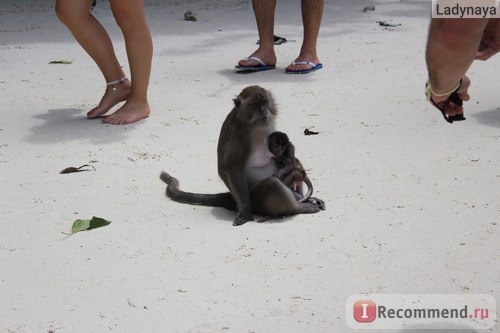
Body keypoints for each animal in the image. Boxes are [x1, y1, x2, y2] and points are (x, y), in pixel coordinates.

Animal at [160, 85, 324, 226]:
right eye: (255, 104)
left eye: (265, 102)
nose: (263, 110)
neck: (253, 126)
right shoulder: (239, 139)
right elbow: (232, 167)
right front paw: (245, 213)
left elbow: (287, 157)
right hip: (257, 201)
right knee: (272, 184)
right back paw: (297, 208)